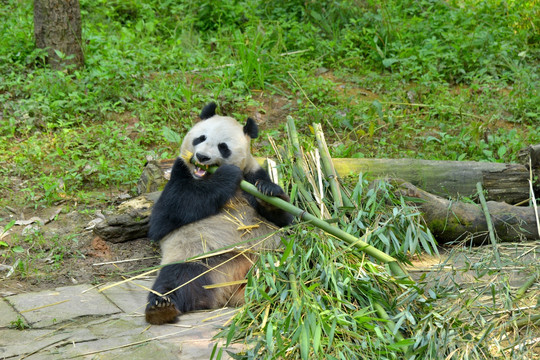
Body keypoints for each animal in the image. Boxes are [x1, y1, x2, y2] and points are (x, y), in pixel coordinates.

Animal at [146, 102, 294, 324]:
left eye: (223, 147)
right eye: (200, 138)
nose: (202, 157)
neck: (203, 177)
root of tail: (230, 291)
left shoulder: (253, 174)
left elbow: (285, 220)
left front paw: (269, 192)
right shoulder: (178, 175)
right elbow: (165, 217)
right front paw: (227, 175)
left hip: (271, 256)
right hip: (198, 260)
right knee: (176, 280)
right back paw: (161, 308)